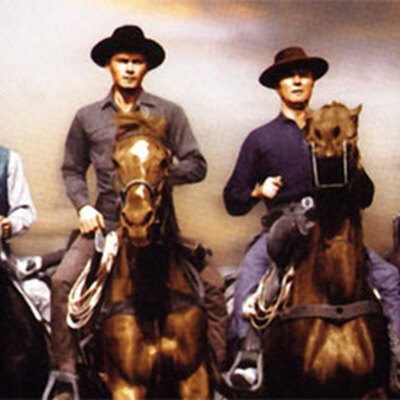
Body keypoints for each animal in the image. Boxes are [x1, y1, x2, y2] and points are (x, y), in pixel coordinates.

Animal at [98, 112, 210, 399]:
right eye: (115, 161)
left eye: (164, 161)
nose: (138, 220)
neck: (152, 296)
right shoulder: (127, 385)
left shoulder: (194, 377)